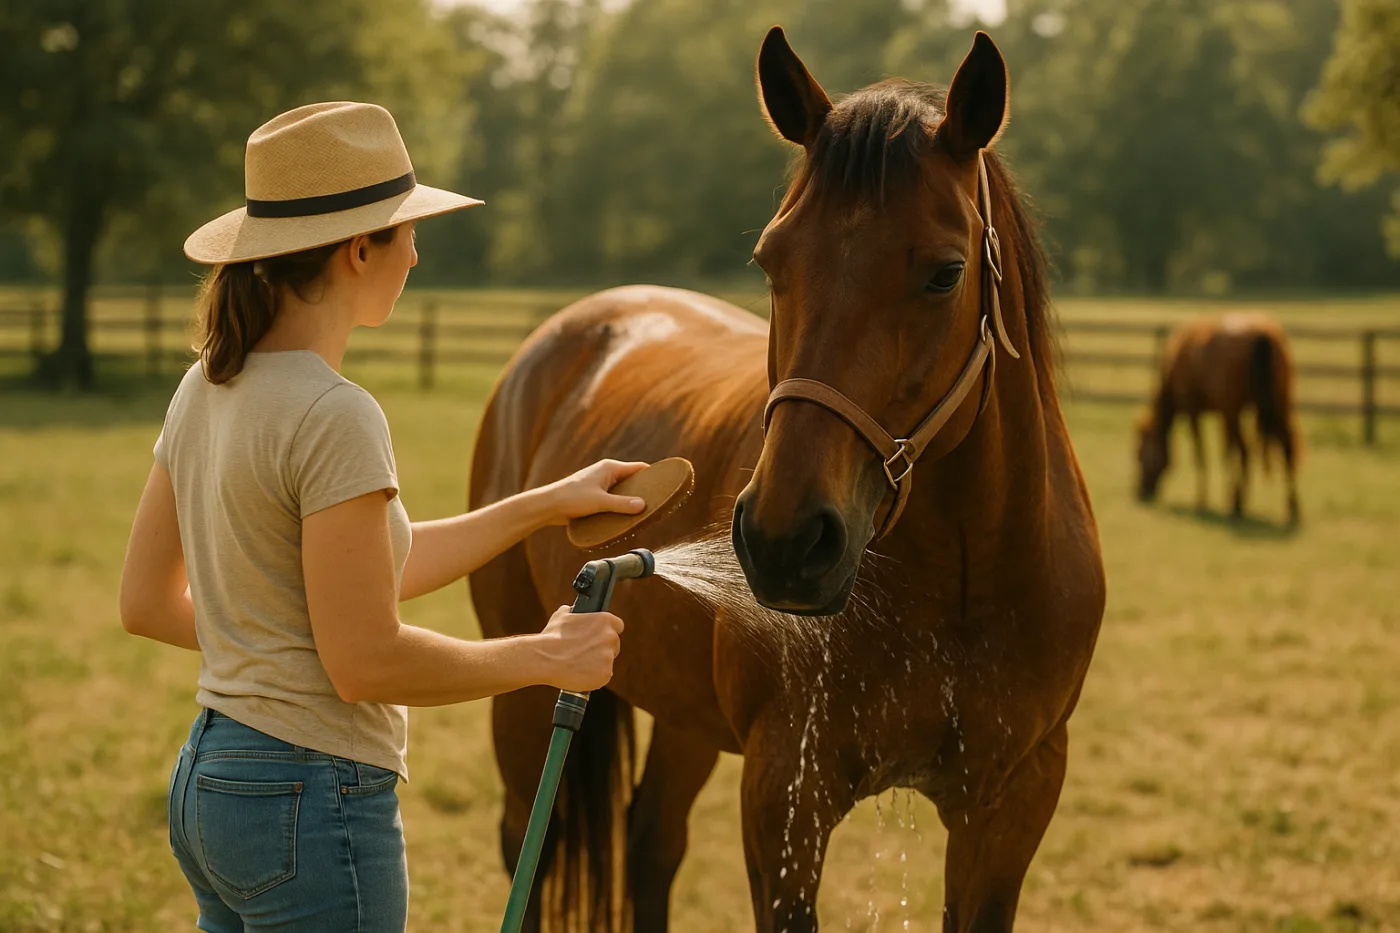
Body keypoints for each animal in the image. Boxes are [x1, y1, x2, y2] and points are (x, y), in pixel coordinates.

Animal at [468, 27, 1106, 932]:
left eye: (945, 272)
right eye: (771, 261)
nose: (783, 542)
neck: (962, 589)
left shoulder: (1013, 803)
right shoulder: (783, 793)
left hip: (681, 713)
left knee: (652, 840)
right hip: (525, 681)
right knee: (531, 834)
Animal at [1134, 311, 1301, 524]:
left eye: (1139, 454)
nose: (1140, 492)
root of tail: (1263, 334)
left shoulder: (1194, 410)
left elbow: (1201, 455)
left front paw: (1202, 500)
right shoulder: (1222, 414)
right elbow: (1226, 453)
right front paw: (1224, 495)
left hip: (1234, 410)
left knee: (1245, 450)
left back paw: (1238, 503)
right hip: (1278, 403)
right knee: (1286, 447)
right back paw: (1291, 507)